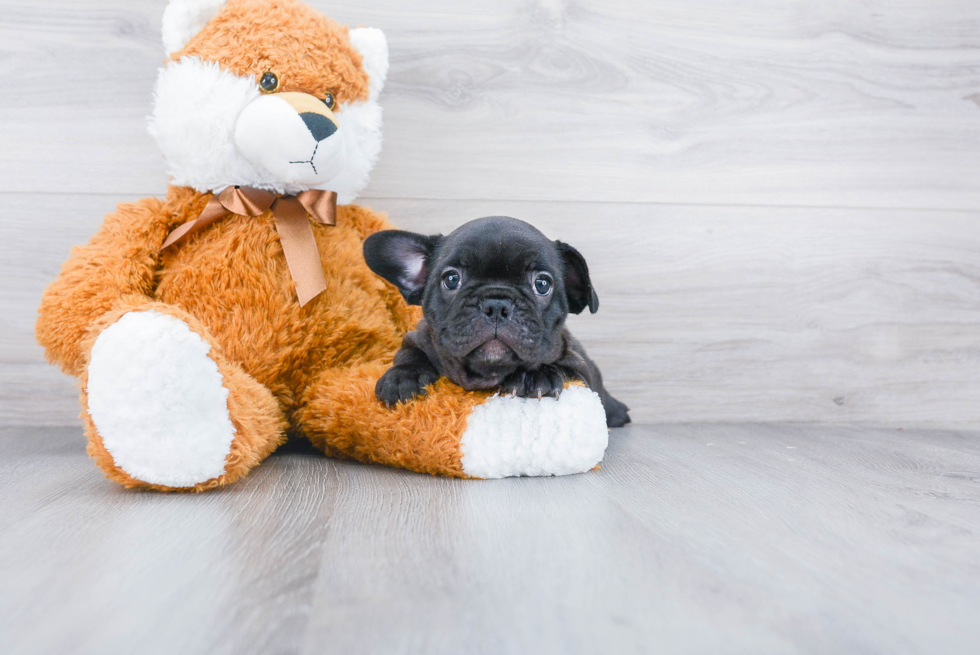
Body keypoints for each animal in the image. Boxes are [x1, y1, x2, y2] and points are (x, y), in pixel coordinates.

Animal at [364, 217, 632, 430]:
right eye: (451, 279)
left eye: (542, 284)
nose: (496, 305)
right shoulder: (418, 338)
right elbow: (408, 353)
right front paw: (402, 378)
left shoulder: (580, 371)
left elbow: (562, 368)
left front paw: (536, 377)